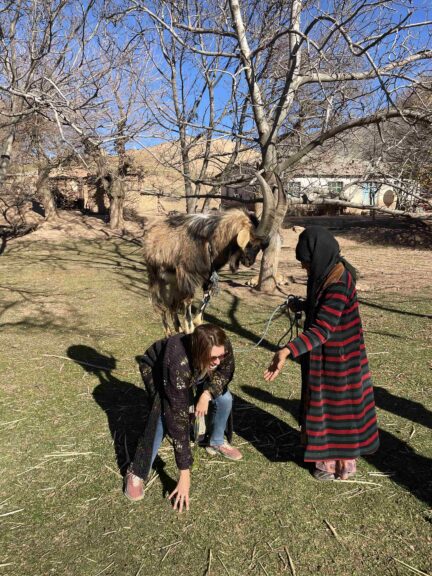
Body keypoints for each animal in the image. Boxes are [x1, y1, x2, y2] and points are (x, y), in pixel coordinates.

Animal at [142, 173, 288, 336]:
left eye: (262, 246)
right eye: (251, 242)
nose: (249, 261)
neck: (208, 240)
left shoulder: (207, 276)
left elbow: (205, 298)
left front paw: (196, 323)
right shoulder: (186, 275)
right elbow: (188, 300)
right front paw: (189, 328)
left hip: (172, 281)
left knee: (172, 304)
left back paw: (177, 327)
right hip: (156, 276)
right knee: (160, 304)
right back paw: (168, 331)